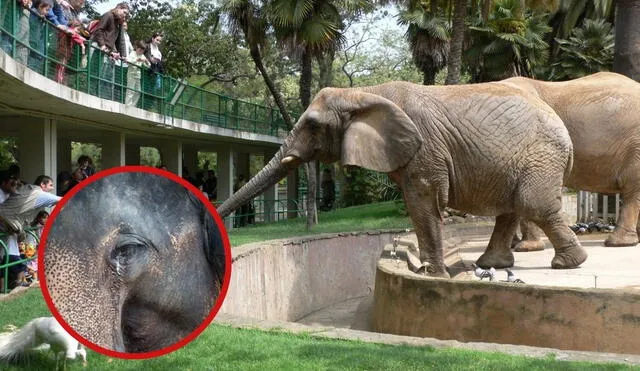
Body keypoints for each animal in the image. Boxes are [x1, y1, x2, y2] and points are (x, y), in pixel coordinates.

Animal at [218, 82, 588, 280]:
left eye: (311, 125)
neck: (363, 93)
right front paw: (433, 272)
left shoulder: (425, 149)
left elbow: (422, 200)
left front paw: (431, 275)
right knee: (511, 207)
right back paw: (490, 265)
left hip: (541, 155)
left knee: (531, 203)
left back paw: (569, 264)